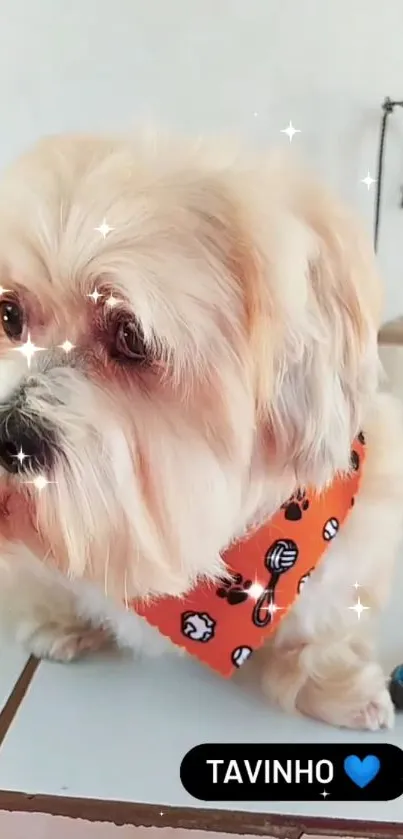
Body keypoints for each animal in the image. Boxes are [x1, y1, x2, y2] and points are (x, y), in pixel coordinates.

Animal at [0, 131, 400, 728]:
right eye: (9, 315)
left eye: (130, 337)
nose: (7, 435)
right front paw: (55, 618)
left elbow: (325, 626)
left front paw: (338, 684)